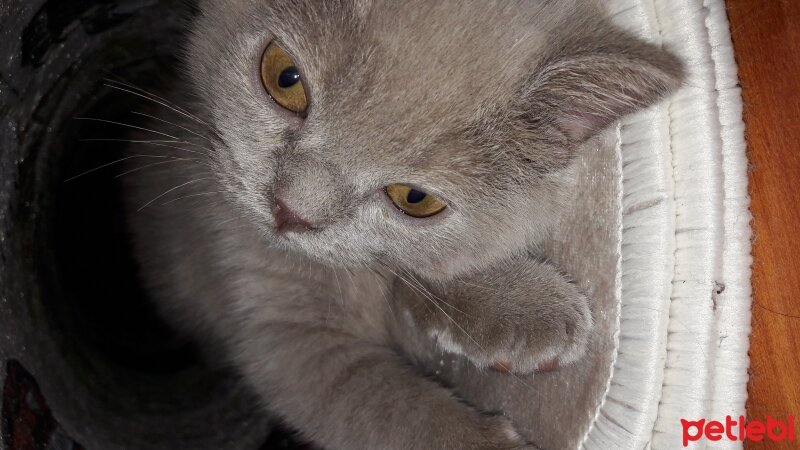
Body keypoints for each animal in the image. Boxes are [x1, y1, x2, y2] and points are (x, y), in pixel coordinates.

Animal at [123, 1, 680, 448]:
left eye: (415, 199)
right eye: (284, 79)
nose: (292, 211)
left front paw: (518, 302)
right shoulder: (271, 323)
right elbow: (374, 401)